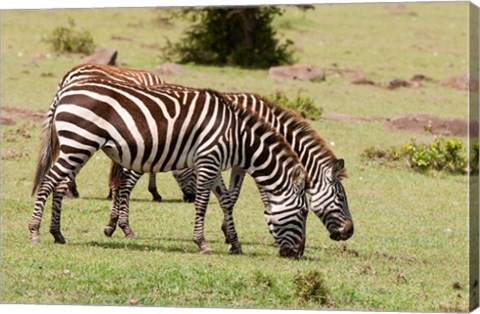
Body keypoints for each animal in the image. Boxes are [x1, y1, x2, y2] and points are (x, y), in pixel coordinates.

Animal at [30, 76, 310, 258]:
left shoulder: (214, 163)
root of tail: (65, 91)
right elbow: (203, 203)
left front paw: (235, 243)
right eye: (304, 212)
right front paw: (202, 243)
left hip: (76, 146)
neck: (237, 137)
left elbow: (226, 201)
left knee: (60, 185)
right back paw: (35, 233)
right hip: (78, 142)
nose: (298, 254)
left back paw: (57, 234)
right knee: (48, 182)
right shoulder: (208, 160)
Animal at [109, 90, 352, 243]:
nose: (350, 232)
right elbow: (253, 195)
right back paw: (125, 228)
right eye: (341, 198)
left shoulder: (243, 162)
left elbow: (232, 196)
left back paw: (111, 225)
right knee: (126, 184)